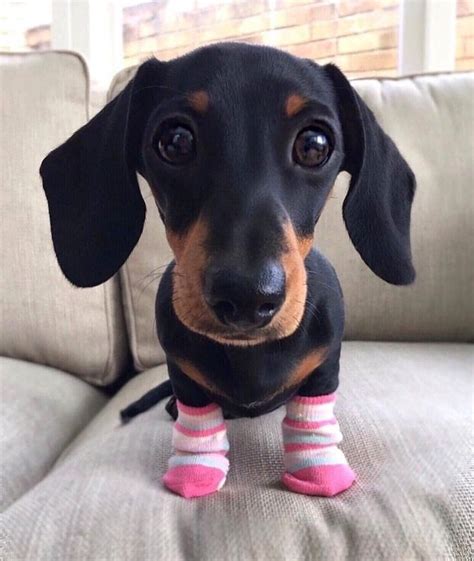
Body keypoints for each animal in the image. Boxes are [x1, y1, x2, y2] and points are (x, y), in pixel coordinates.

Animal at [42, 43, 416, 498]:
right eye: (175, 141)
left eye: (314, 145)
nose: (247, 297)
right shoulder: (185, 378)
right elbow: (197, 422)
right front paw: (194, 476)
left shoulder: (324, 369)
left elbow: (311, 419)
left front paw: (320, 474)